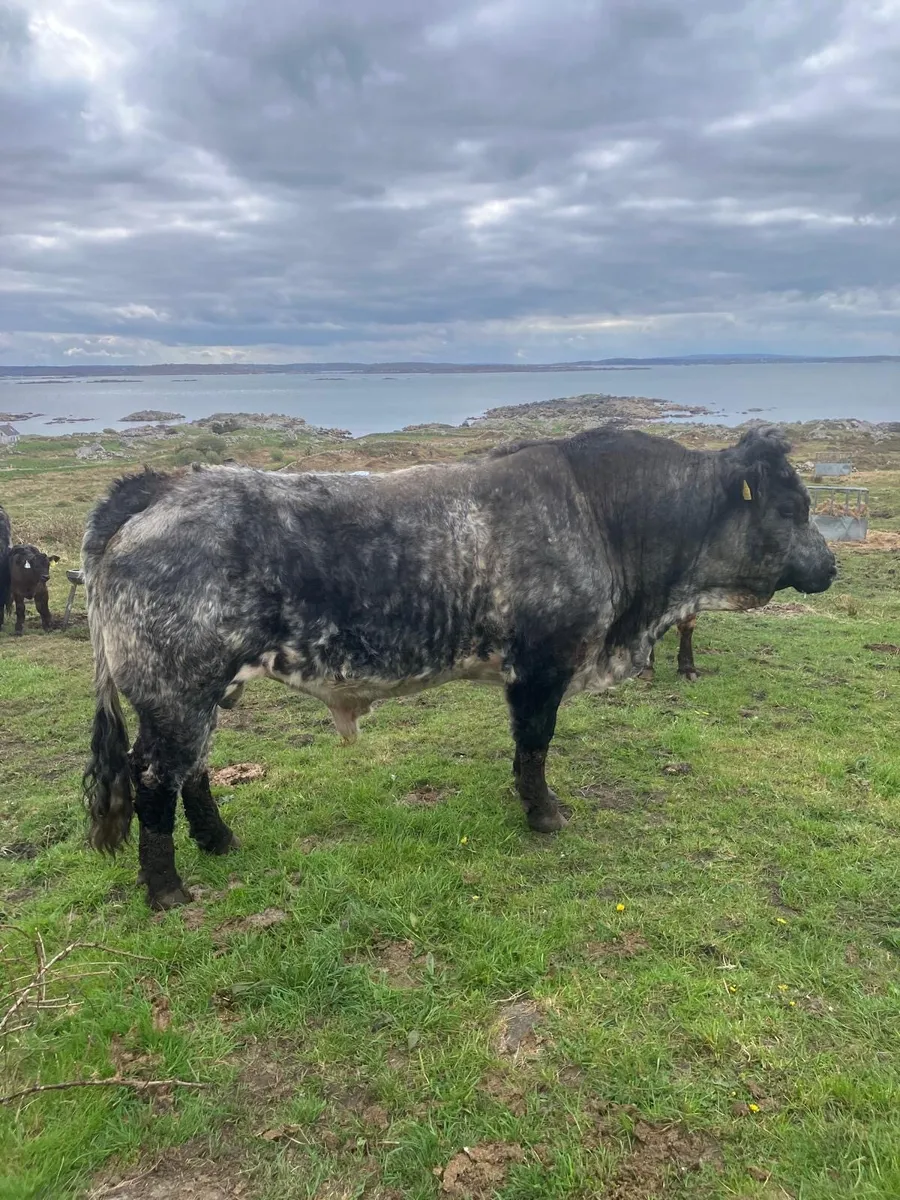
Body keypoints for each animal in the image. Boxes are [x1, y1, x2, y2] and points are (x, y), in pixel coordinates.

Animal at [81, 425, 836, 910]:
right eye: (792, 507)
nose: (830, 566)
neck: (602, 514)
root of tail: (160, 487)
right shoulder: (543, 662)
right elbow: (535, 742)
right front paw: (544, 812)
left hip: (204, 691)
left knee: (193, 770)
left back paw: (220, 841)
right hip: (177, 689)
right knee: (155, 778)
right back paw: (168, 889)